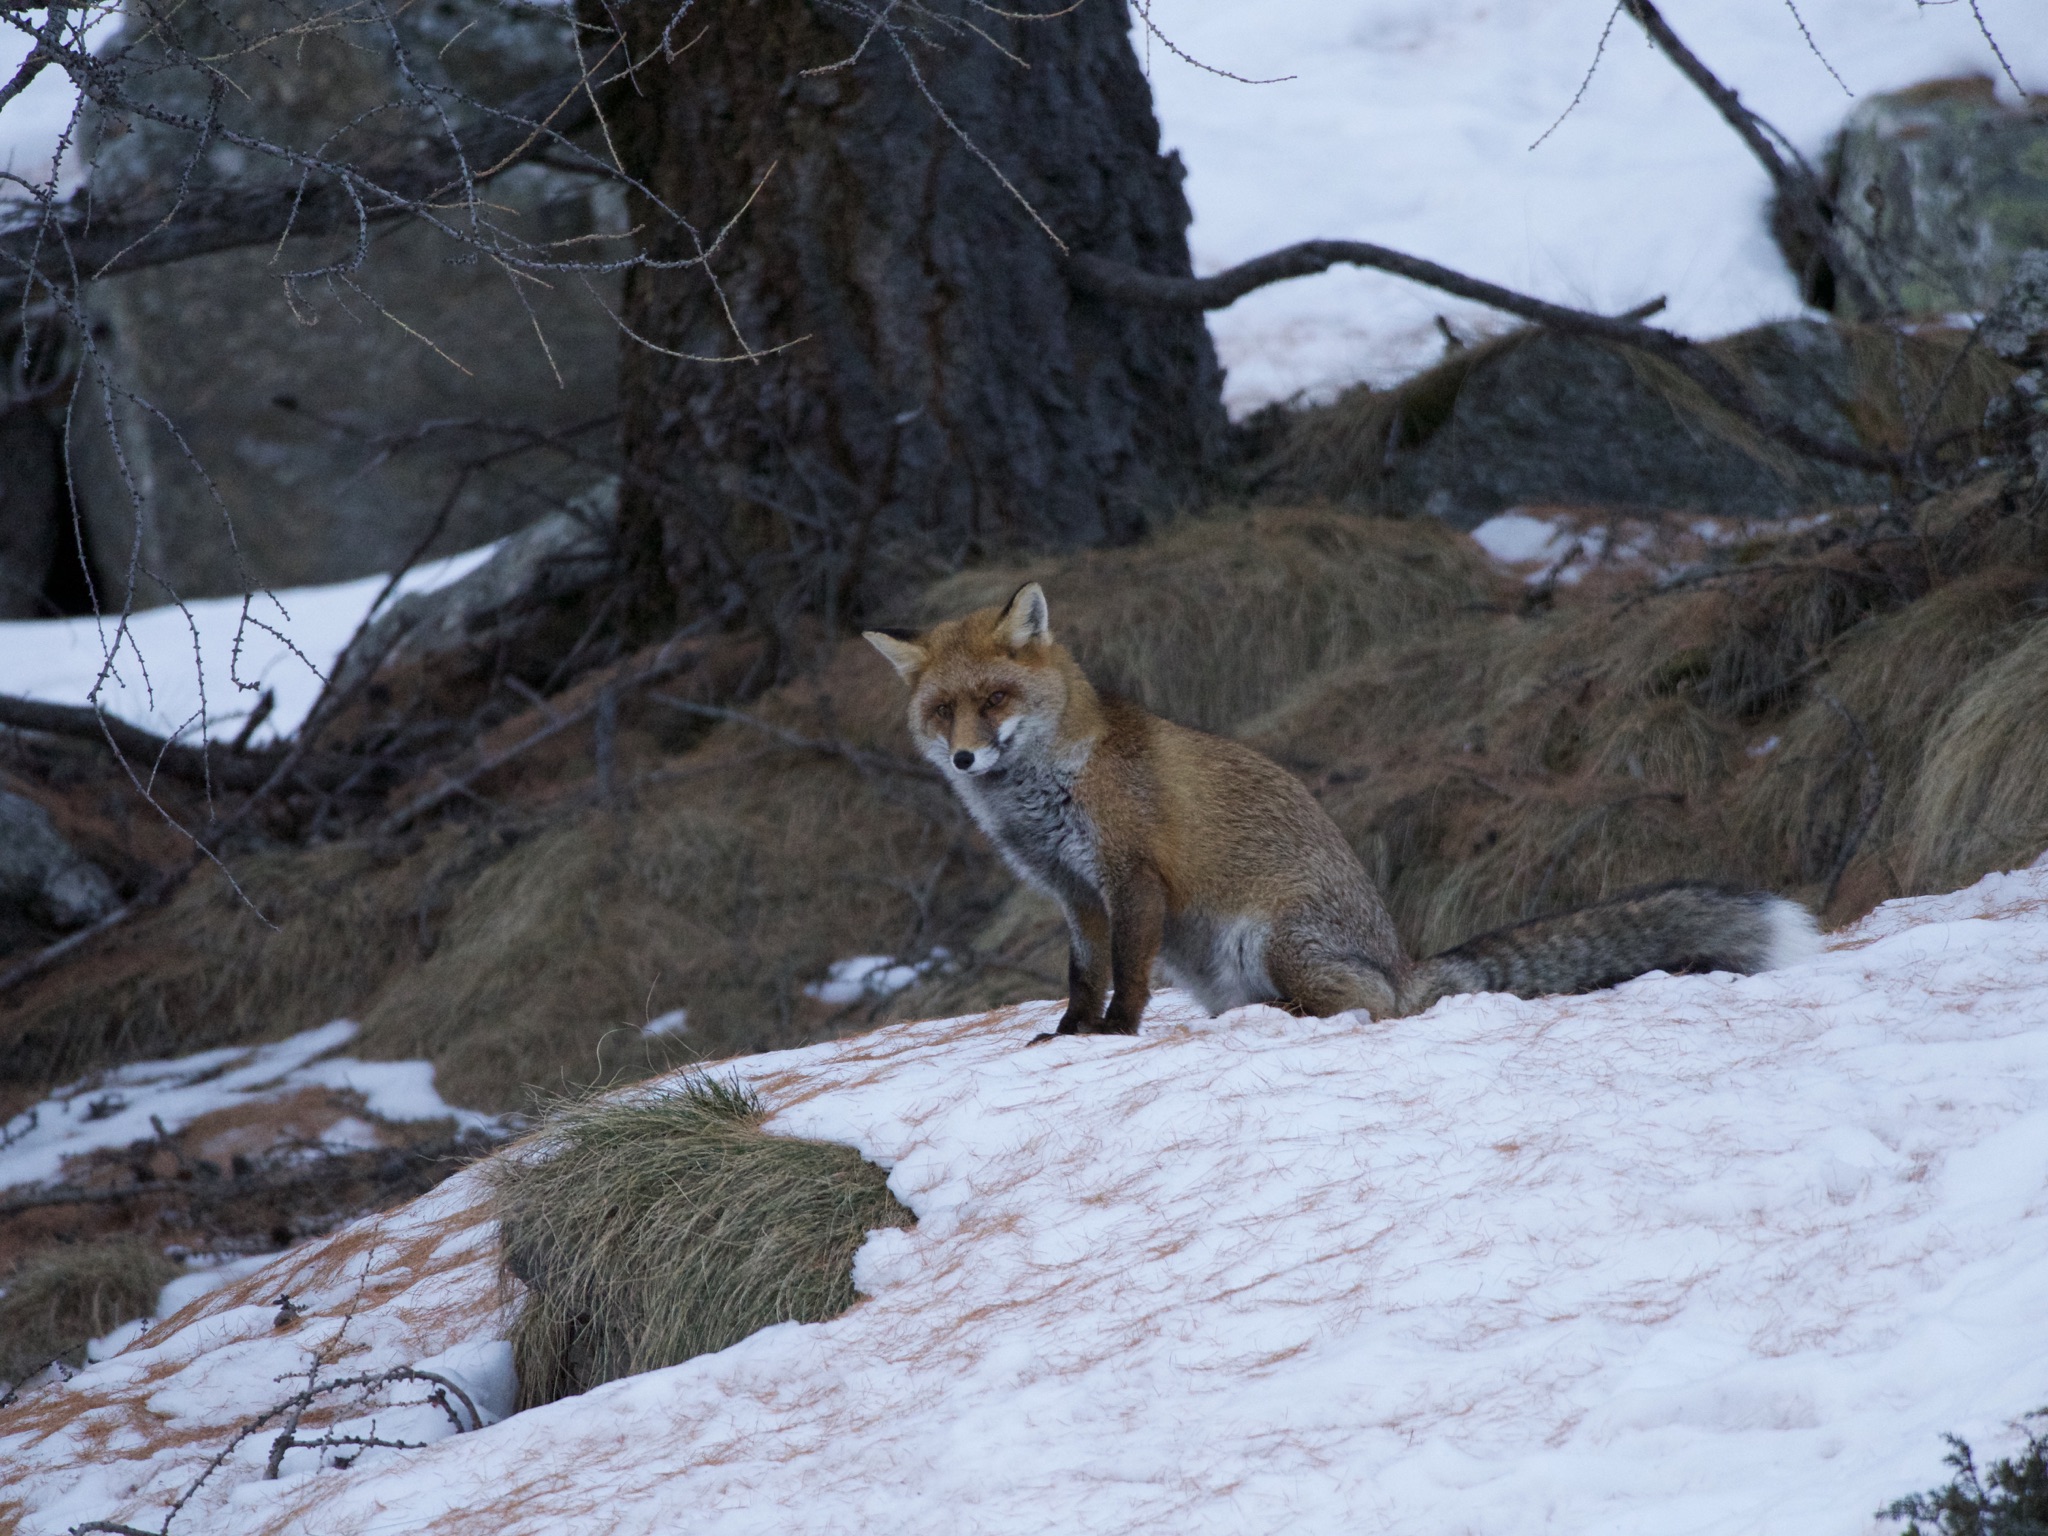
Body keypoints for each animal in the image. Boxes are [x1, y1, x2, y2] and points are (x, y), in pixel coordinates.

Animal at [864, 582, 1819, 1038]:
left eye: (994, 699)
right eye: (942, 712)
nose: (964, 758)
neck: (1048, 789)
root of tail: (1403, 958)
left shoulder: (1131, 876)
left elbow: (1125, 980)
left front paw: (1114, 1036)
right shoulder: (1072, 892)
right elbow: (1080, 977)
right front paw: (1066, 1037)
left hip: (1275, 941)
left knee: (1370, 1008)